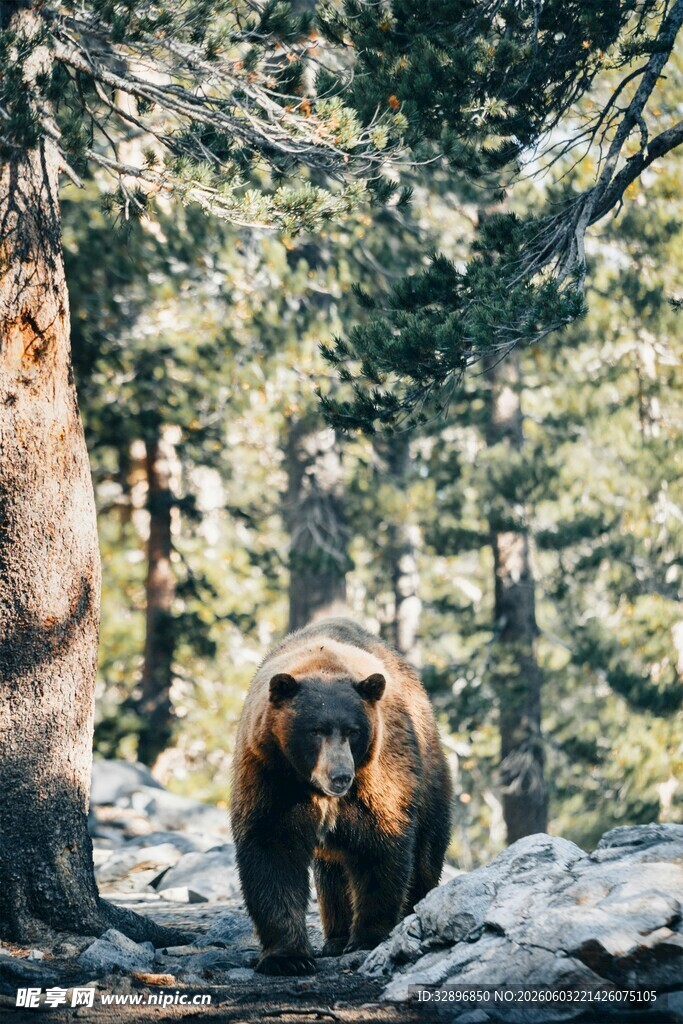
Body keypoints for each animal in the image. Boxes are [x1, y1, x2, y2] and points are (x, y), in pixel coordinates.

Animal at [231, 617, 452, 976]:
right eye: (315, 730)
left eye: (352, 731)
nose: (340, 776)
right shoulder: (270, 773)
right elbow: (271, 850)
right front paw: (287, 957)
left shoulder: (380, 776)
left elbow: (381, 847)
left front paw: (368, 937)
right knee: (331, 875)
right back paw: (335, 938)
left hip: (430, 779)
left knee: (426, 856)